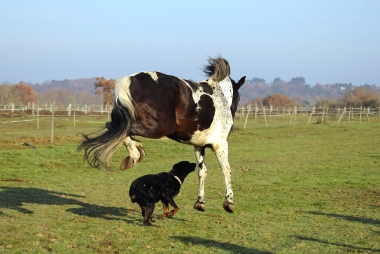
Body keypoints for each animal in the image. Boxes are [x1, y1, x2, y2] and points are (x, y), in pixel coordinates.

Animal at [79, 56, 246, 212]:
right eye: (238, 97)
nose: (233, 121)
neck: (220, 98)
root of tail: (131, 79)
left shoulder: (199, 146)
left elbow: (202, 172)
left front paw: (200, 202)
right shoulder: (220, 144)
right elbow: (226, 169)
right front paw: (229, 202)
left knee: (118, 129)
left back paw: (136, 151)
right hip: (159, 127)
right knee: (121, 130)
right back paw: (135, 154)